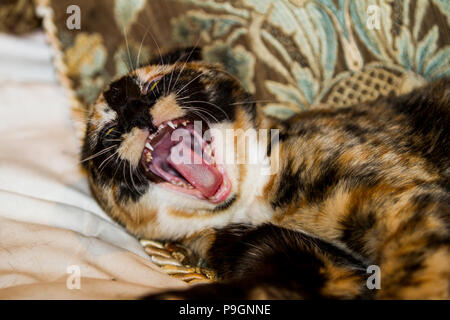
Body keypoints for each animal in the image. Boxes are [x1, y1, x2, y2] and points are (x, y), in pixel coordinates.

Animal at [81, 48, 450, 300]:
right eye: (110, 132)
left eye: (155, 86)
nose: (133, 111)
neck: (252, 202)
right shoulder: (288, 258)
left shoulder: (405, 197)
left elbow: (422, 266)